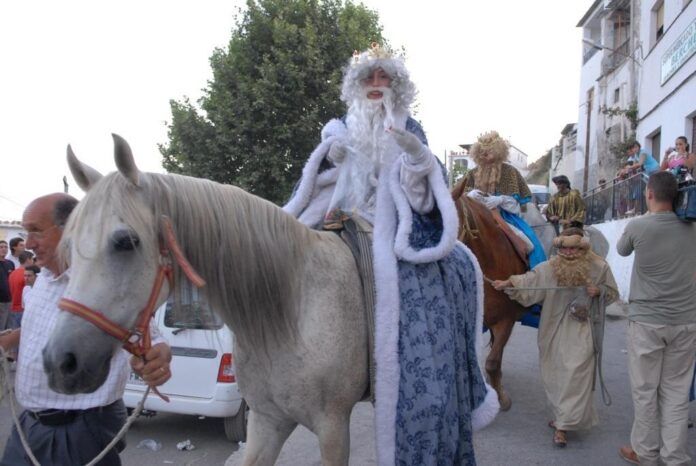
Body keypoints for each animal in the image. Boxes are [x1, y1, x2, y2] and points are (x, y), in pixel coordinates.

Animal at [42, 137, 368, 466]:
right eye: (68, 247)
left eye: (126, 242)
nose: (60, 362)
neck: (292, 310)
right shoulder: (267, 420)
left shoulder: (332, 427)